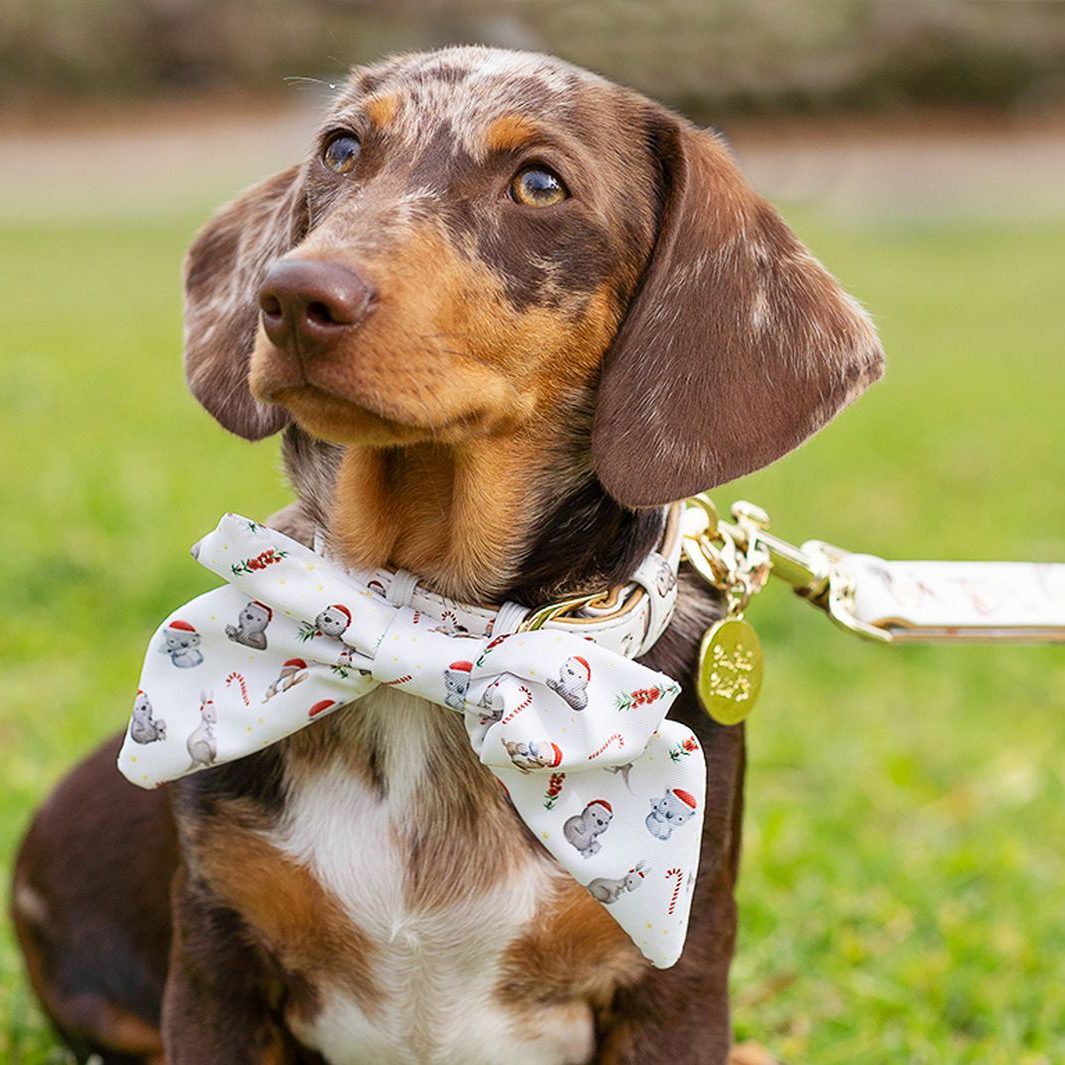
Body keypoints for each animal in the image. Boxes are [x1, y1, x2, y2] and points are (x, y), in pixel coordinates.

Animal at [10, 43, 881, 1065]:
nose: (293, 296)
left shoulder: (676, 978)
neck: (427, 615)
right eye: (341, 148)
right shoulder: (219, 963)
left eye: (539, 183)